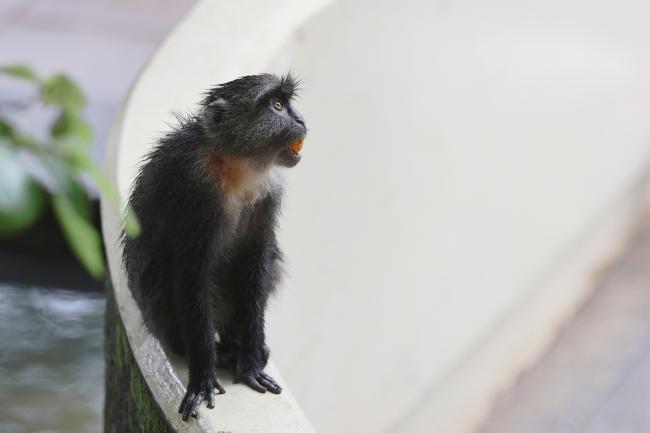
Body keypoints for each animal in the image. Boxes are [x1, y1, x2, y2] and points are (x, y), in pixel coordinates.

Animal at [121, 73, 306, 421]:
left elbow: (258, 260)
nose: (300, 120)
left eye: (287, 104)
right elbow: (192, 274)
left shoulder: (269, 192)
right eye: (277, 105)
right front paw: (203, 375)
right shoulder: (196, 191)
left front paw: (250, 359)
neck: (238, 164)